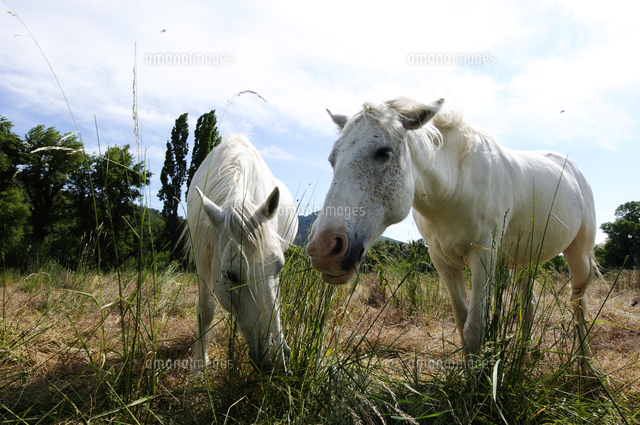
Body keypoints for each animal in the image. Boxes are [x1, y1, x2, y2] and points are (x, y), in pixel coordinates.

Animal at [184, 134, 298, 371]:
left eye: (280, 267)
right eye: (230, 275)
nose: (275, 360)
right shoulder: (202, 257)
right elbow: (206, 309)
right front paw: (199, 362)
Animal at [307, 97, 596, 360]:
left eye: (384, 153)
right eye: (332, 159)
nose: (323, 249)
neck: (454, 189)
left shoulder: (484, 258)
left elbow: (475, 331)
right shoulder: (443, 262)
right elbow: (462, 324)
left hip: (578, 254)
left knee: (578, 304)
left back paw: (585, 365)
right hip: (525, 261)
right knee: (529, 306)